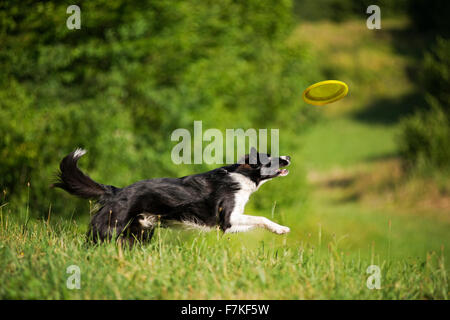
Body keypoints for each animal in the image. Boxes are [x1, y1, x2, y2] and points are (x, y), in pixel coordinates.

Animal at [53, 148, 292, 245]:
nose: (288, 157)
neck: (243, 175)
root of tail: (117, 191)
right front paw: (281, 229)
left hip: (138, 233)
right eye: (270, 158)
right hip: (110, 228)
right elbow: (261, 218)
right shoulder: (228, 219)